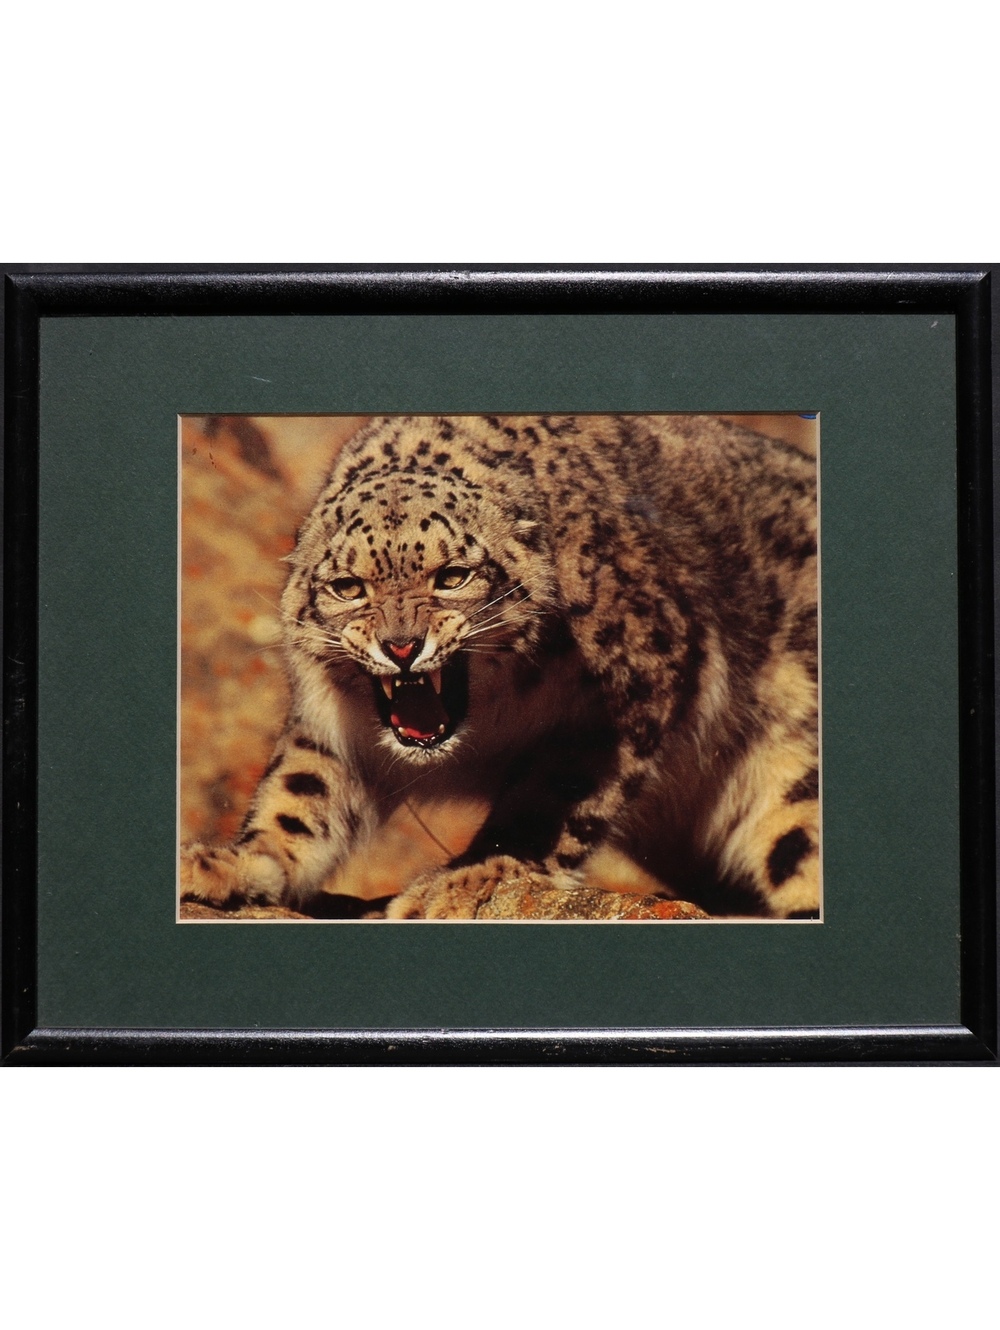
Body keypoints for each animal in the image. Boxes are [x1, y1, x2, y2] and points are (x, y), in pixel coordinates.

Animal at [180, 413, 820, 920]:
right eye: (347, 586)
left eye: (452, 576)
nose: (402, 646)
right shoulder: (331, 725)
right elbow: (301, 791)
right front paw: (229, 863)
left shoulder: (631, 684)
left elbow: (550, 796)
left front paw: (464, 883)